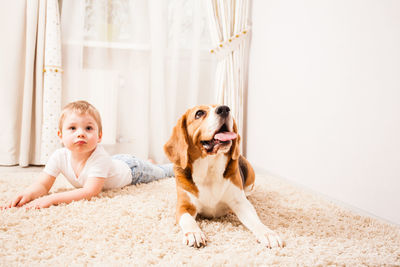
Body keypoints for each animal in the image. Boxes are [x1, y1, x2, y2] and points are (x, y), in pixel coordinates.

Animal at [164, 104, 282, 249]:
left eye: (226, 107)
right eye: (199, 113)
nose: (224, 109)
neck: (209, 170)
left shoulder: (240, 203)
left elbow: (255, 221)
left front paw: (267, 233)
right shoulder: (184, 206)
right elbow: (187, 220)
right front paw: (194, 233)